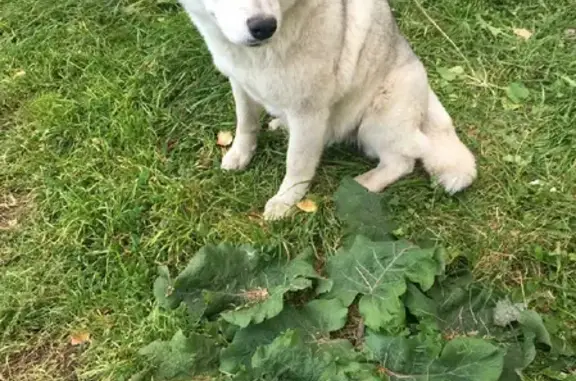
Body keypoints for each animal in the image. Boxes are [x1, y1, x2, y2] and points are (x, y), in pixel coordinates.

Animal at [179, 0, 476, 218]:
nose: (264, 26)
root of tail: (427, 94)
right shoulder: (240, 85)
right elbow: (246, 125)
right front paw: (240, 155)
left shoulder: (308, 112)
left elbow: (297, 163)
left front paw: (286, 202)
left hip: (375, 122)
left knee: (402, 161)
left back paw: (363, 183)